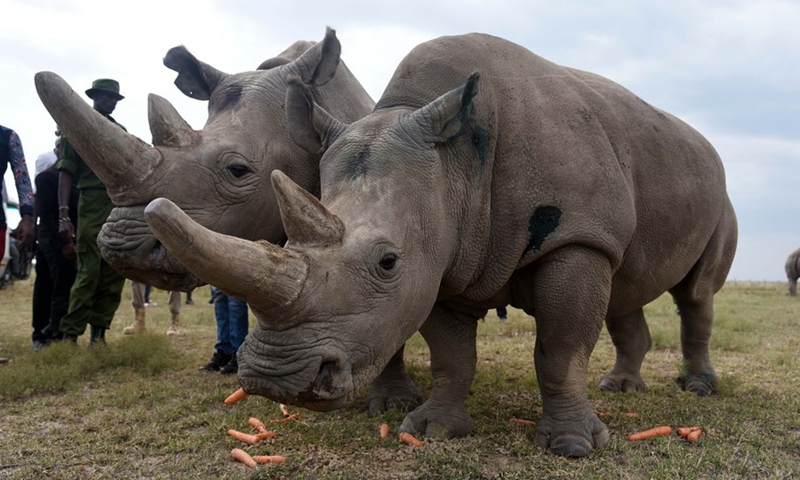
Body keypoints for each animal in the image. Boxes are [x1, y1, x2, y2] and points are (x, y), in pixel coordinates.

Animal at [142, 33, 736, 458]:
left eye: (387, 262)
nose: (275, 379)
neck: (456, 166)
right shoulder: (442, 257)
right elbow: (453, 355)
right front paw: (433, 431)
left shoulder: (577, 236)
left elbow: (561, 348)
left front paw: (573, 447)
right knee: (627, 289)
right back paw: (620, 388)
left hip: (714, 189)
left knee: (696, 294)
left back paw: (697, 388)